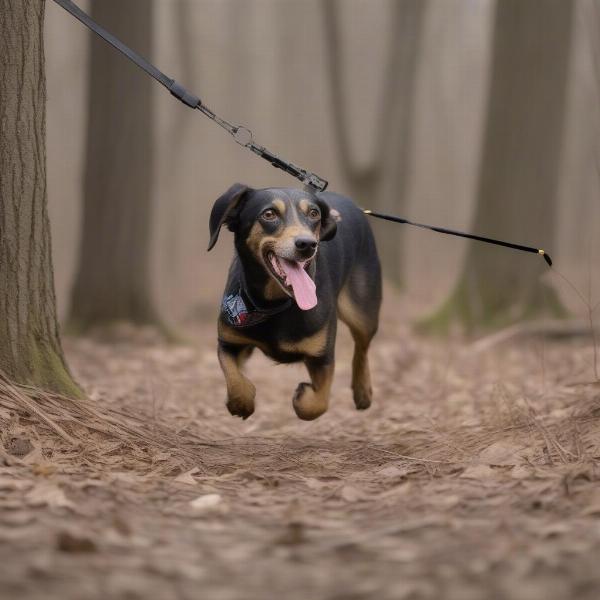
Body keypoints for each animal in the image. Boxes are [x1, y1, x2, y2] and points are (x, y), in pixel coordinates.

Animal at [209, 183, 382, 422]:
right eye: (269, 214)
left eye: (314, 214)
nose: (308, 244)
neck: (273, 303)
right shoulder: (229, 341)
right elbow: (234, 377)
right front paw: (241, 403)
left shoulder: (322, 356)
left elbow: (318, 403)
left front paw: (303, 397)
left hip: (362, 313)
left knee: (362, 347)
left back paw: (362, 390)